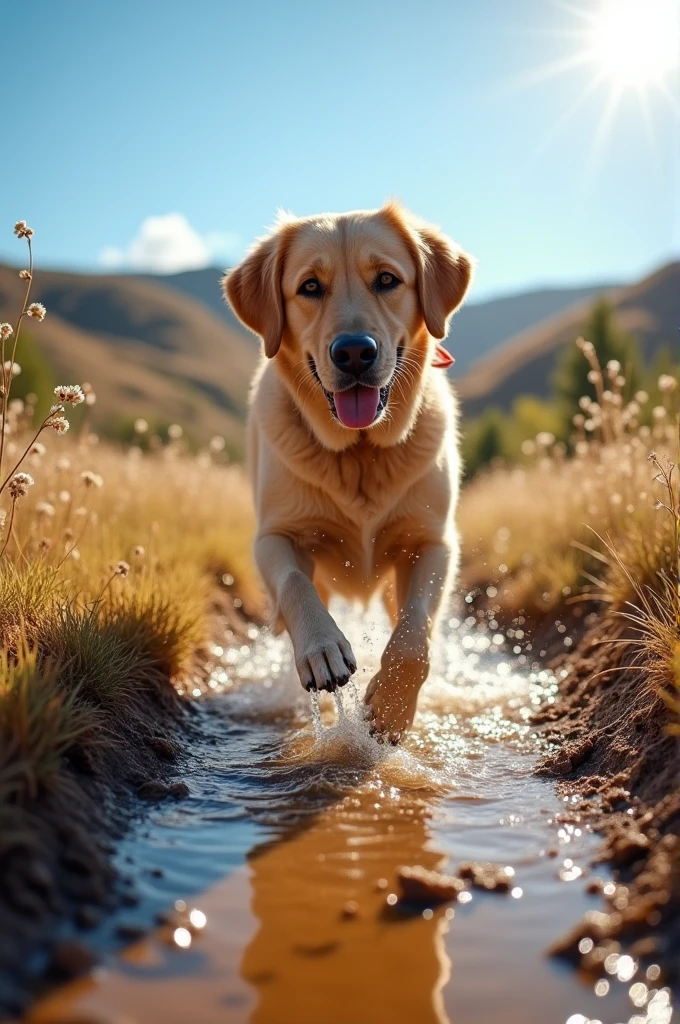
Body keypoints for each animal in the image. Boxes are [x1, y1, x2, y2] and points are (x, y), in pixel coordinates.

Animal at [223, 201, 473, 745]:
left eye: (387, 279)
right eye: (310, 287)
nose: (354, 351)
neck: (359, 453)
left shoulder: (433, 540)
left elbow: (415, 631)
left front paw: (393, 707)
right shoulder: (274, 535)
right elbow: (296, 582)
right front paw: (323, 648)